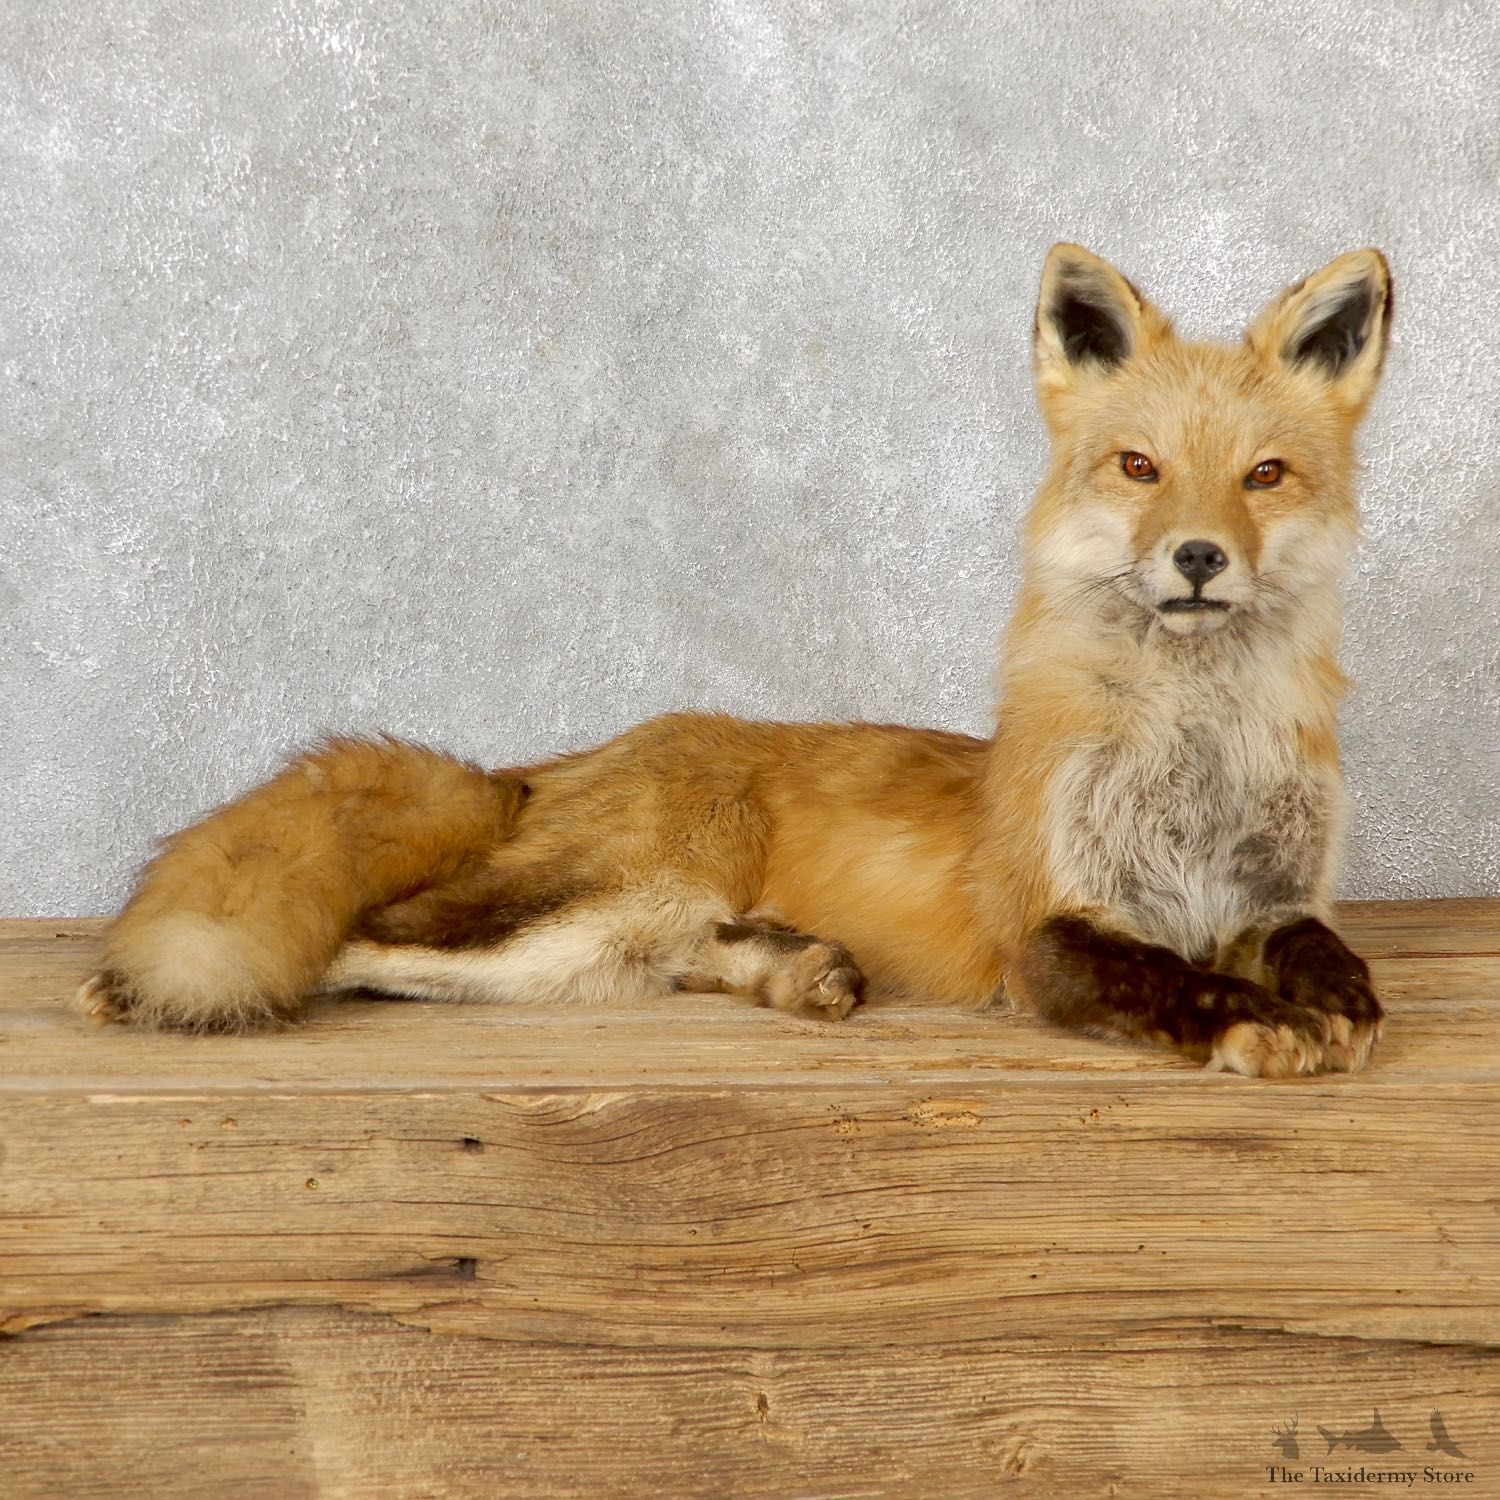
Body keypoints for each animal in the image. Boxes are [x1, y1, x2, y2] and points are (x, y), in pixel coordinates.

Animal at [76, 243, 1392, 1079]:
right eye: (1138, 467)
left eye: (1263, 476)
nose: (1198, 558)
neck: (1194, 761)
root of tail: (565, 760)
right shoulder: (1049, 927)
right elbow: (1171, 980)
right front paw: (1257, 1022)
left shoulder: (1272, 898)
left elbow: (1325, 951)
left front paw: (1340, 1002)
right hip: (581, 907)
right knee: (355, 944)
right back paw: (122, 988)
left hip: (603, 947)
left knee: (631, 965)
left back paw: (793, 972)